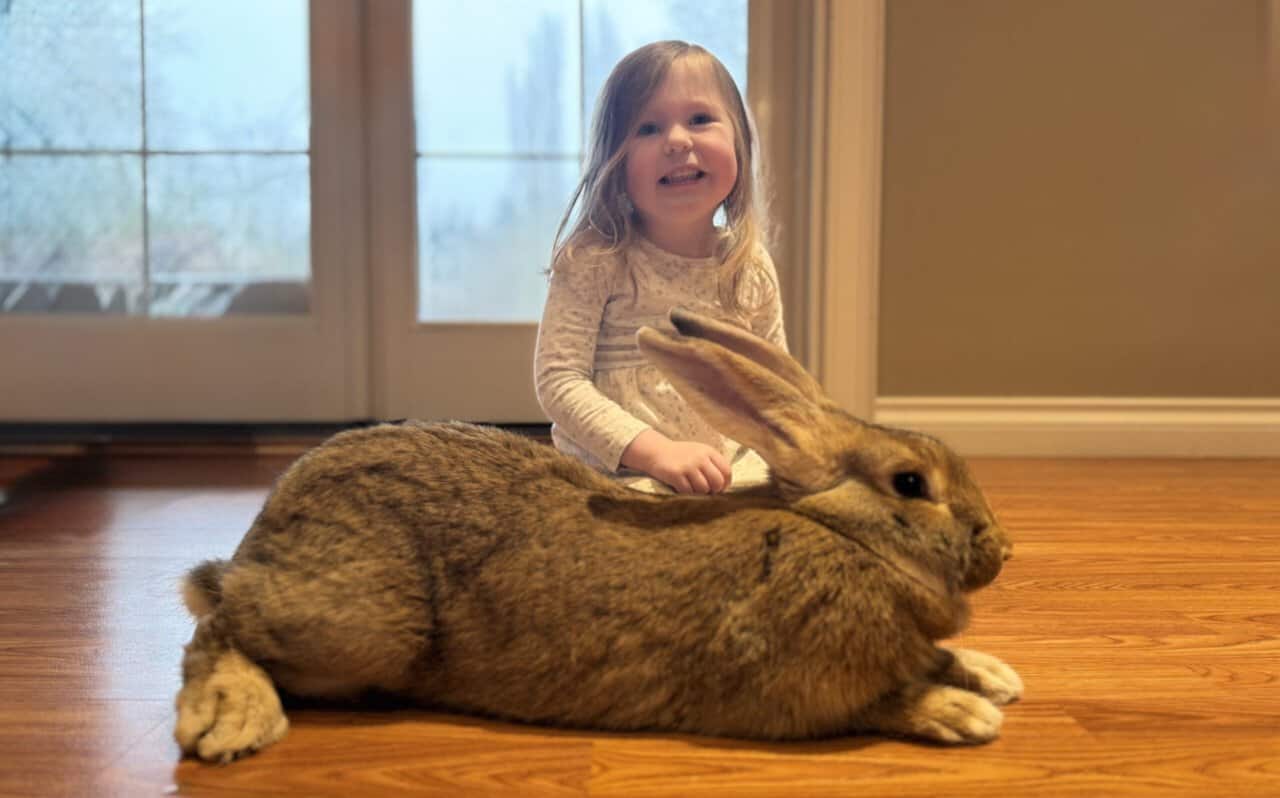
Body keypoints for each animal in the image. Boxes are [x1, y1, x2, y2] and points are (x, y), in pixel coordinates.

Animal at [174, 308, 1020, 763]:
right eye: (910, 484)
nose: (1000, 548)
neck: (847, 537)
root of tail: (267, 526)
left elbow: (939, 658)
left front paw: (995, 675)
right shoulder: (804, 689)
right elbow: (890, 698)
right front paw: (964, 714)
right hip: (361, 625)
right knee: (218, 622)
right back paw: (228, 720)